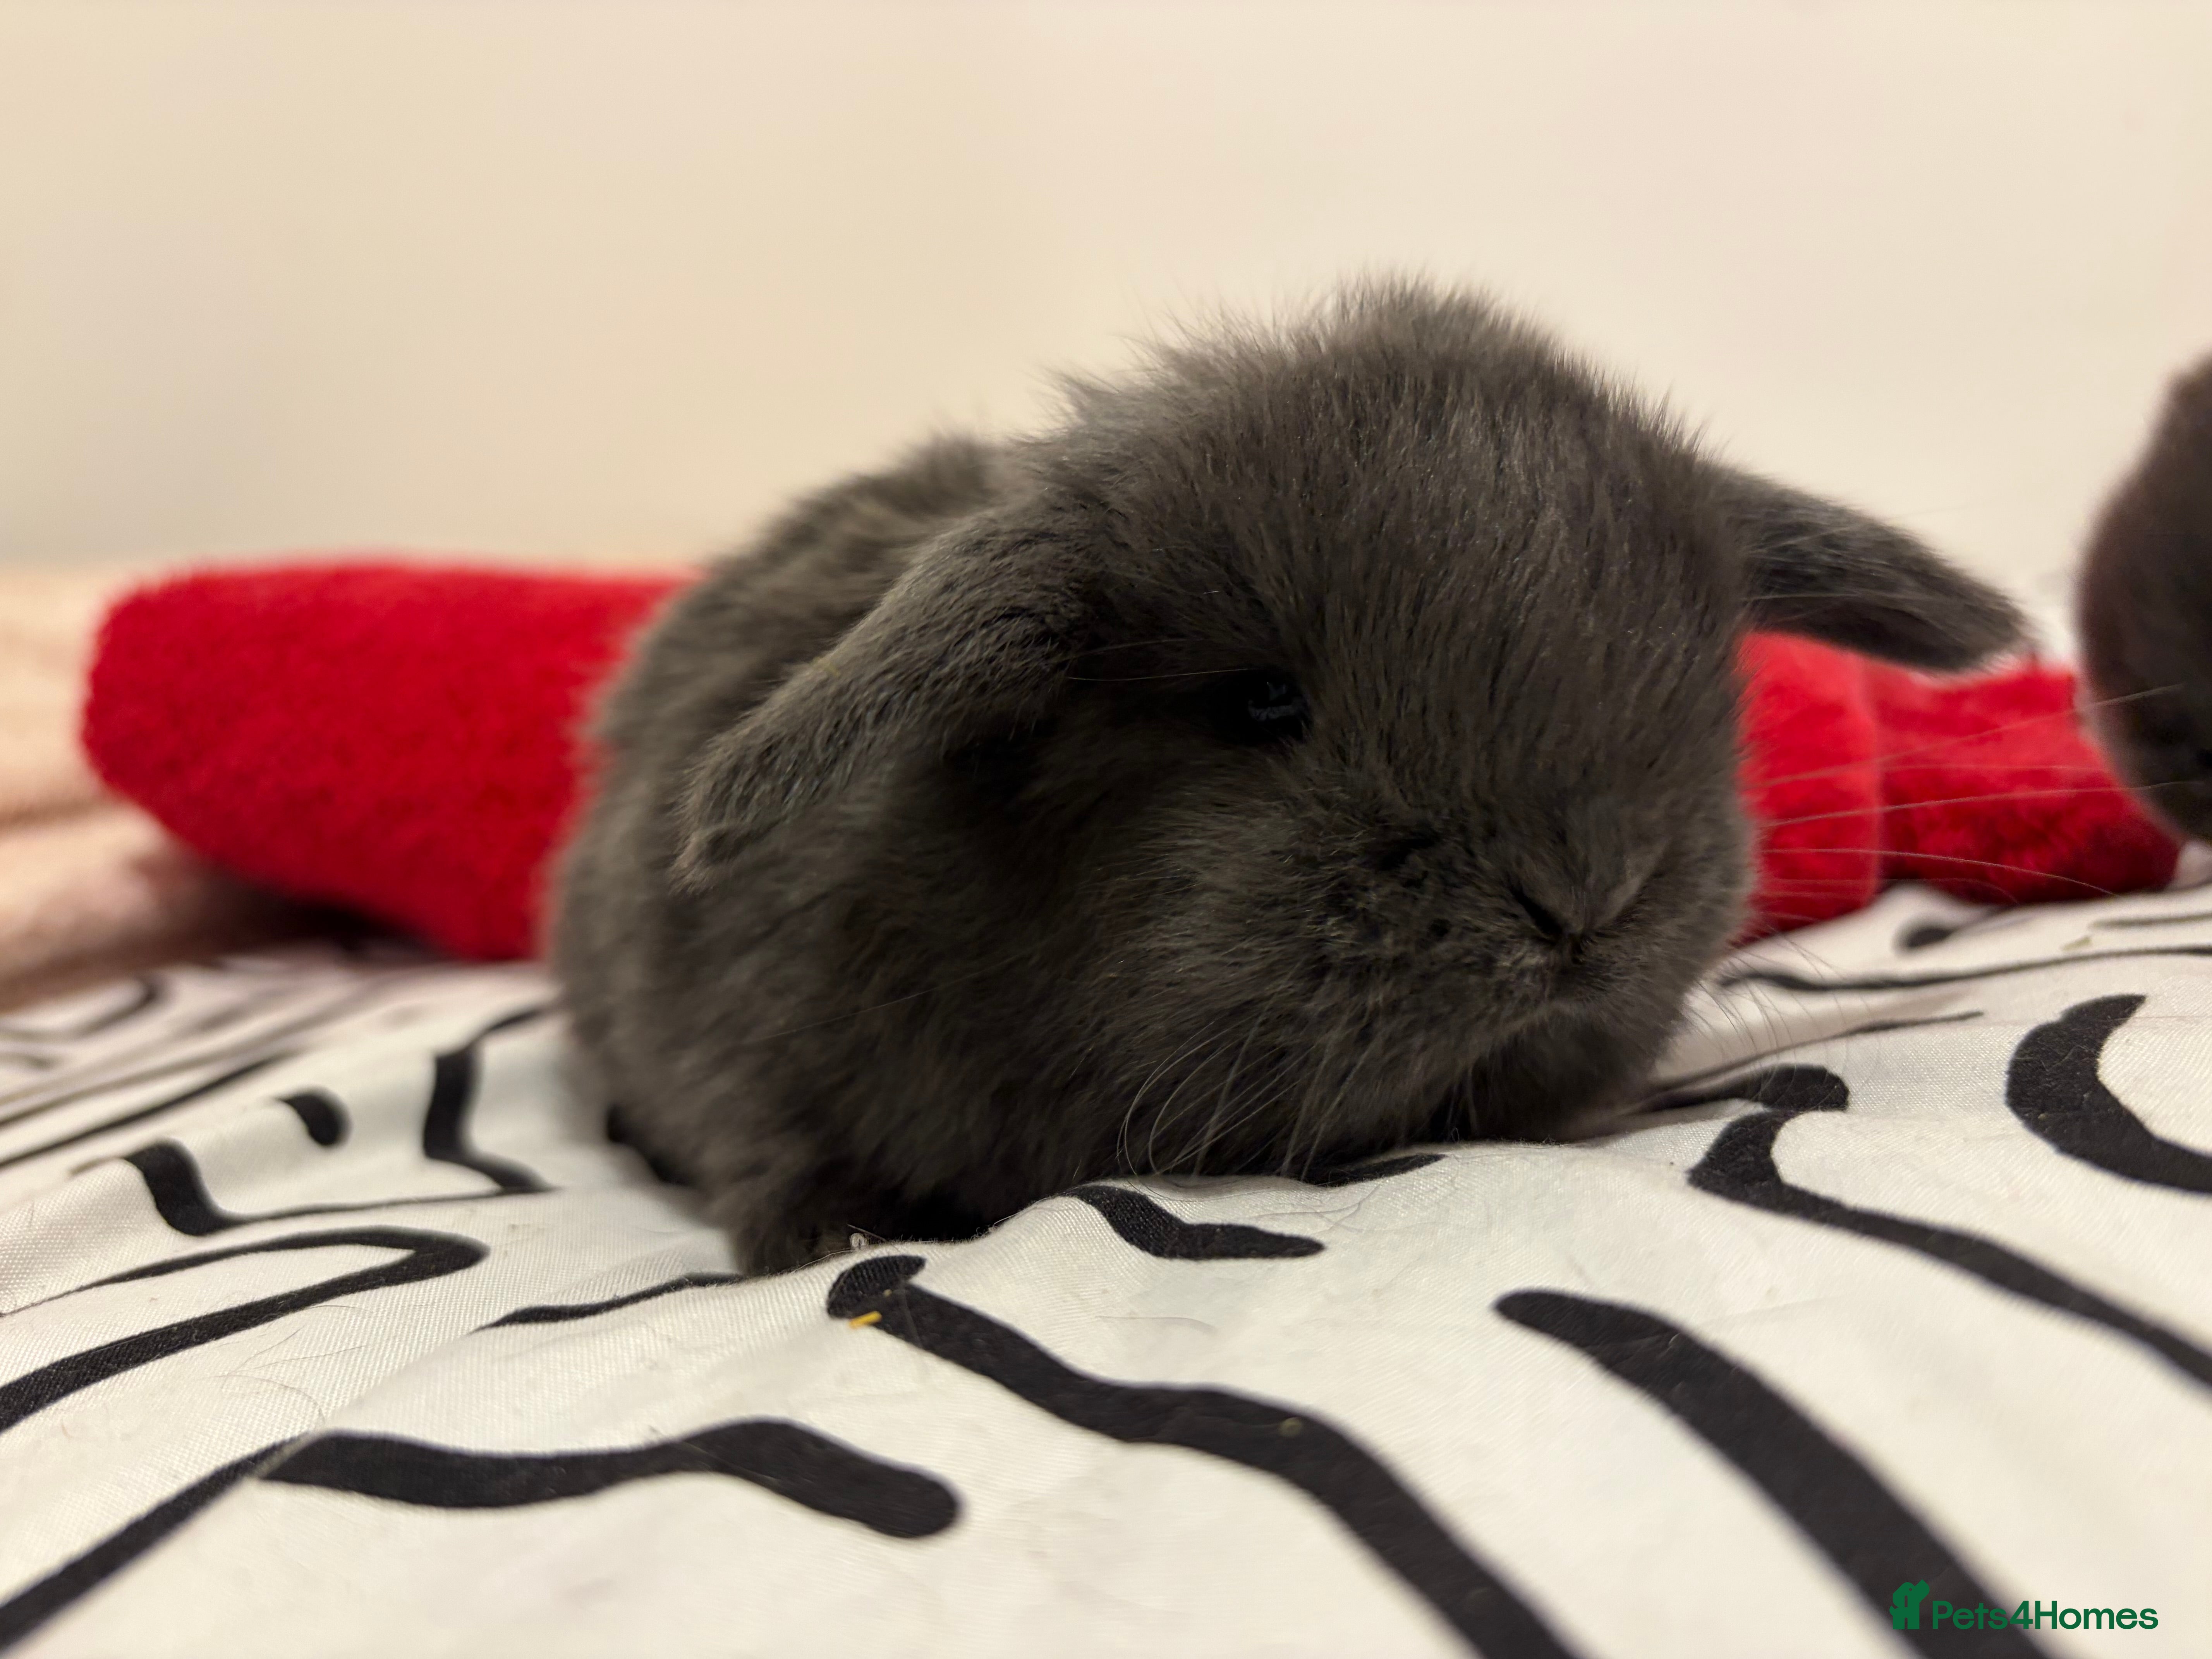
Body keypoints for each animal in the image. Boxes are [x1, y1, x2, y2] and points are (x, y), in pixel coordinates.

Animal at [554, 279, 2022, 1273]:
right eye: (1261, 702)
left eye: (1713, 677)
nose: (1583, 898)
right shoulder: (745, 1049)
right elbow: (773, 1152)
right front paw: (838, 1242)